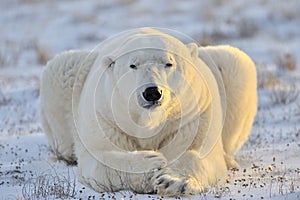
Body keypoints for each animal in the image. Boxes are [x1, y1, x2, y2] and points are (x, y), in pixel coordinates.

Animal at [38, 27, 256, 196]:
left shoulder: (195, 115)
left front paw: (171, 181)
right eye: (132, 65)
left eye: (169, 63)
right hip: (70, 75)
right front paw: (150, 164)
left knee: (236, 62)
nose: (152, 92)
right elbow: (99, 160)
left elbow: (201, 155)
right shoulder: (105, 118)